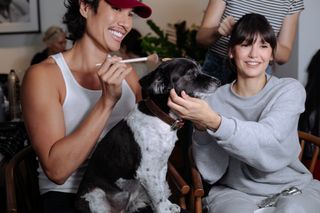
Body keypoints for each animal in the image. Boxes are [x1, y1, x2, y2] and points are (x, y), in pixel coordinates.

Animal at [75, 58, 220, 213]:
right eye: (191, 73)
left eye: (200, 69)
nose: (218, 81)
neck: (161, 118)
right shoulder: (147, 170)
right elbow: (158, 195)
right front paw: (163, 209)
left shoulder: (161, 165)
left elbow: (161, 189)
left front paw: (168, 205)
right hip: (96, 197)